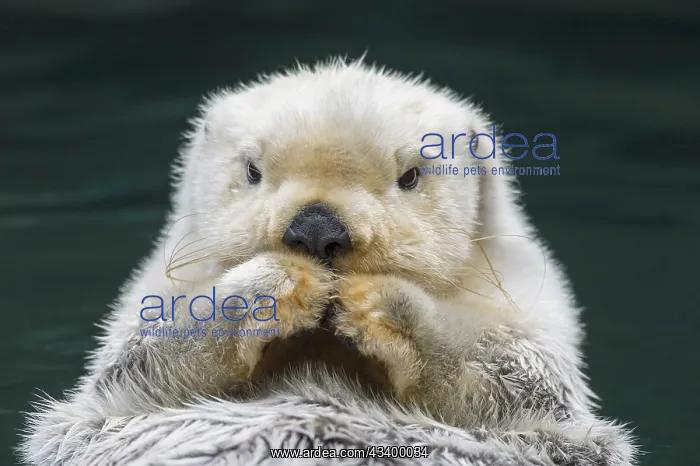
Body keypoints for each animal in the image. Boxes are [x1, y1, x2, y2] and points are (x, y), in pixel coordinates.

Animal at [20, 58, 637, 465]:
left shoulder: (533, 310)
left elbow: (511, 375)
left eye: (410, 176)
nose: (316, 228)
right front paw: (270, 289)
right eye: (252, 170)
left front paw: (383, 306)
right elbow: (143, 361)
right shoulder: (149, 302)